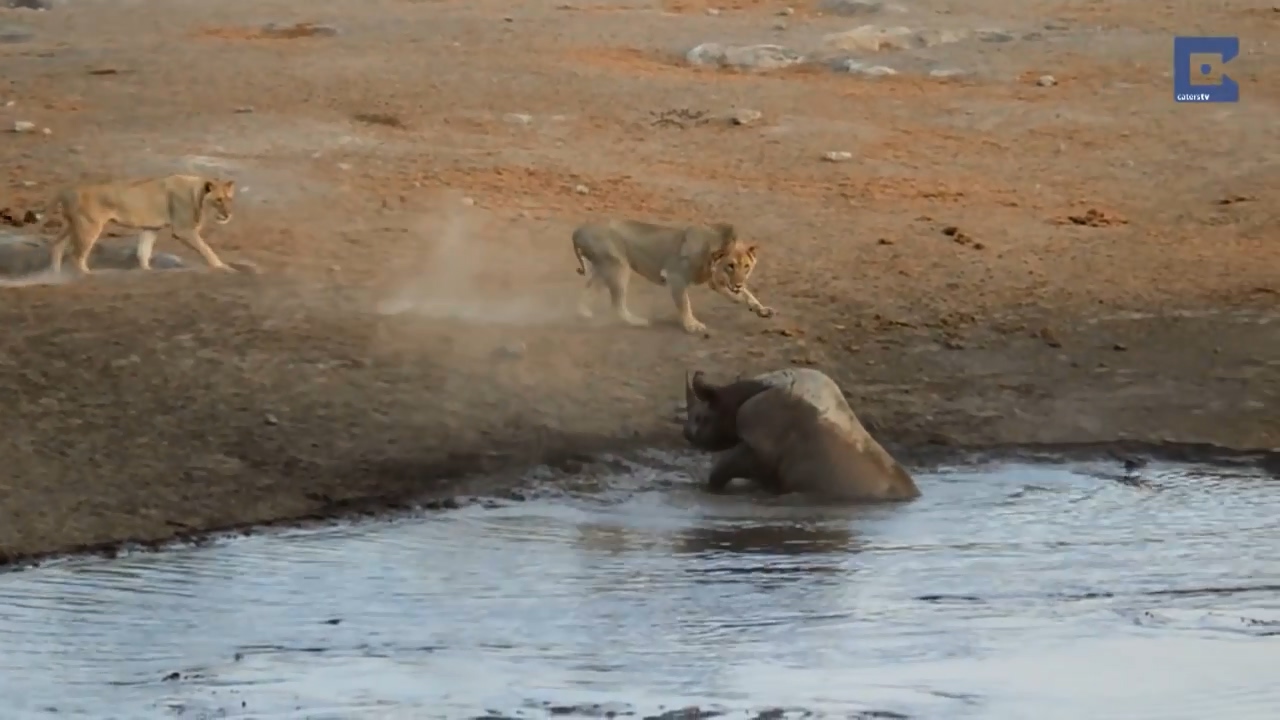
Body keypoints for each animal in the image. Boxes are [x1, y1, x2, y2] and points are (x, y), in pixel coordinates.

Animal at [46, 174, 237, 275]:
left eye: (229, 199)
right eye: (219, 200)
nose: (228, 214)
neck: (196, 196)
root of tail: (67, 190)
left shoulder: (150, 228)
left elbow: (143, 251)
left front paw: (147, 270)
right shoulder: (183, 230)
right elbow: (206, 249)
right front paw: (222, 267)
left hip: (72, 225)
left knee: (56, 245)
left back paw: (55, 274)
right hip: (88, 227)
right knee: (77, 256)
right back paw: (85, 274)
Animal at [571, 219, 774, 334]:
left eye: (746, 267)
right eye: (730, 266)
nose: (738, 283)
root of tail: (580, 229)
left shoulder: (715, 281)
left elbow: (747, 295)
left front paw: (761, 309)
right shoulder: (675, 277)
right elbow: (685, 304)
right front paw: (692, 325)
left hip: (604, 267)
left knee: (587, 290)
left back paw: (583, 312)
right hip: (618, 266)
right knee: (616, 304)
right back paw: (637, 322)